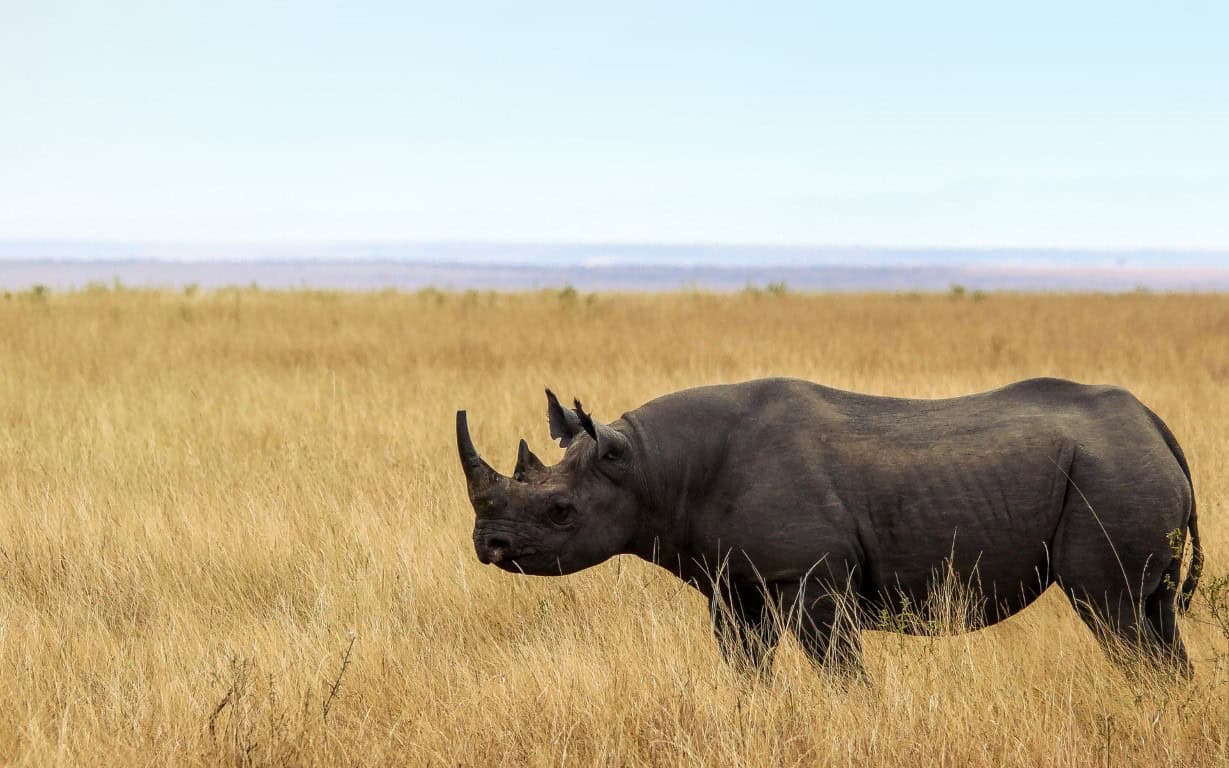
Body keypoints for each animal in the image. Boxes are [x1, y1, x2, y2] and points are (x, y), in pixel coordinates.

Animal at [457, 378, 1204, 678]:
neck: (648, 465)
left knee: (1110, 611)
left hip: (1110, 473)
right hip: (1121, 466)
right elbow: (744, 664)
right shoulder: (734, 582)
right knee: (1154, 616)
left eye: (560, 512)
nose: (487, 546)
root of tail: (1154, 425)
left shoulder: (810, 576)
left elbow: (838, 668)